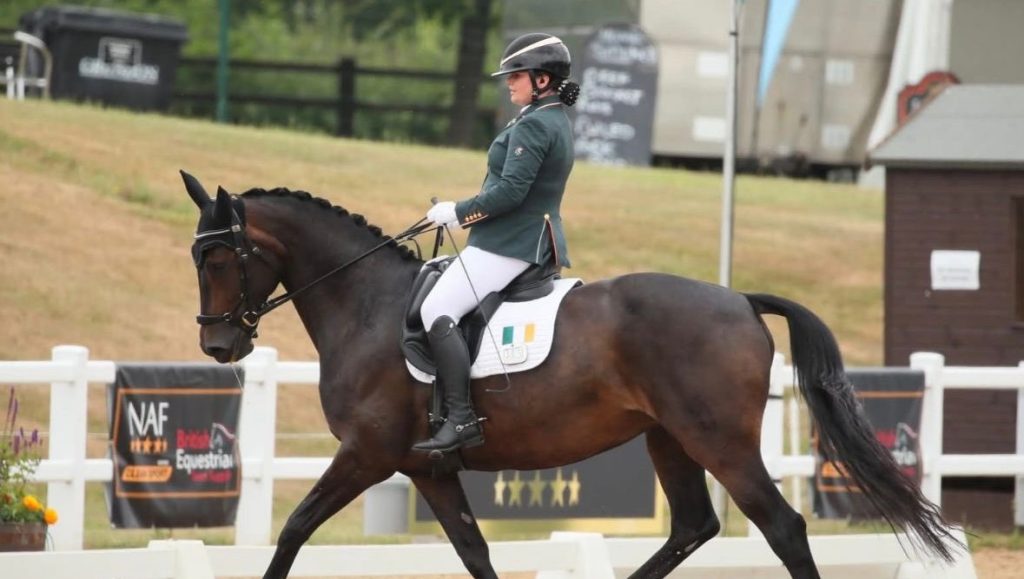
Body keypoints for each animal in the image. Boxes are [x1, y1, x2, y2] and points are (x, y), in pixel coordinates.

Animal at [181, 171, 958, 579]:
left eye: (218, 258)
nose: (219, 343)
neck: (365, 304)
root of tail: (740, 298)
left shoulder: (366, 454)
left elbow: (293, 528)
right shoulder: (426, 466)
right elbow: (473, 549)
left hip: (720, 442)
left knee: (782, 527)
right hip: (669, 439)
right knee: (694, 525)